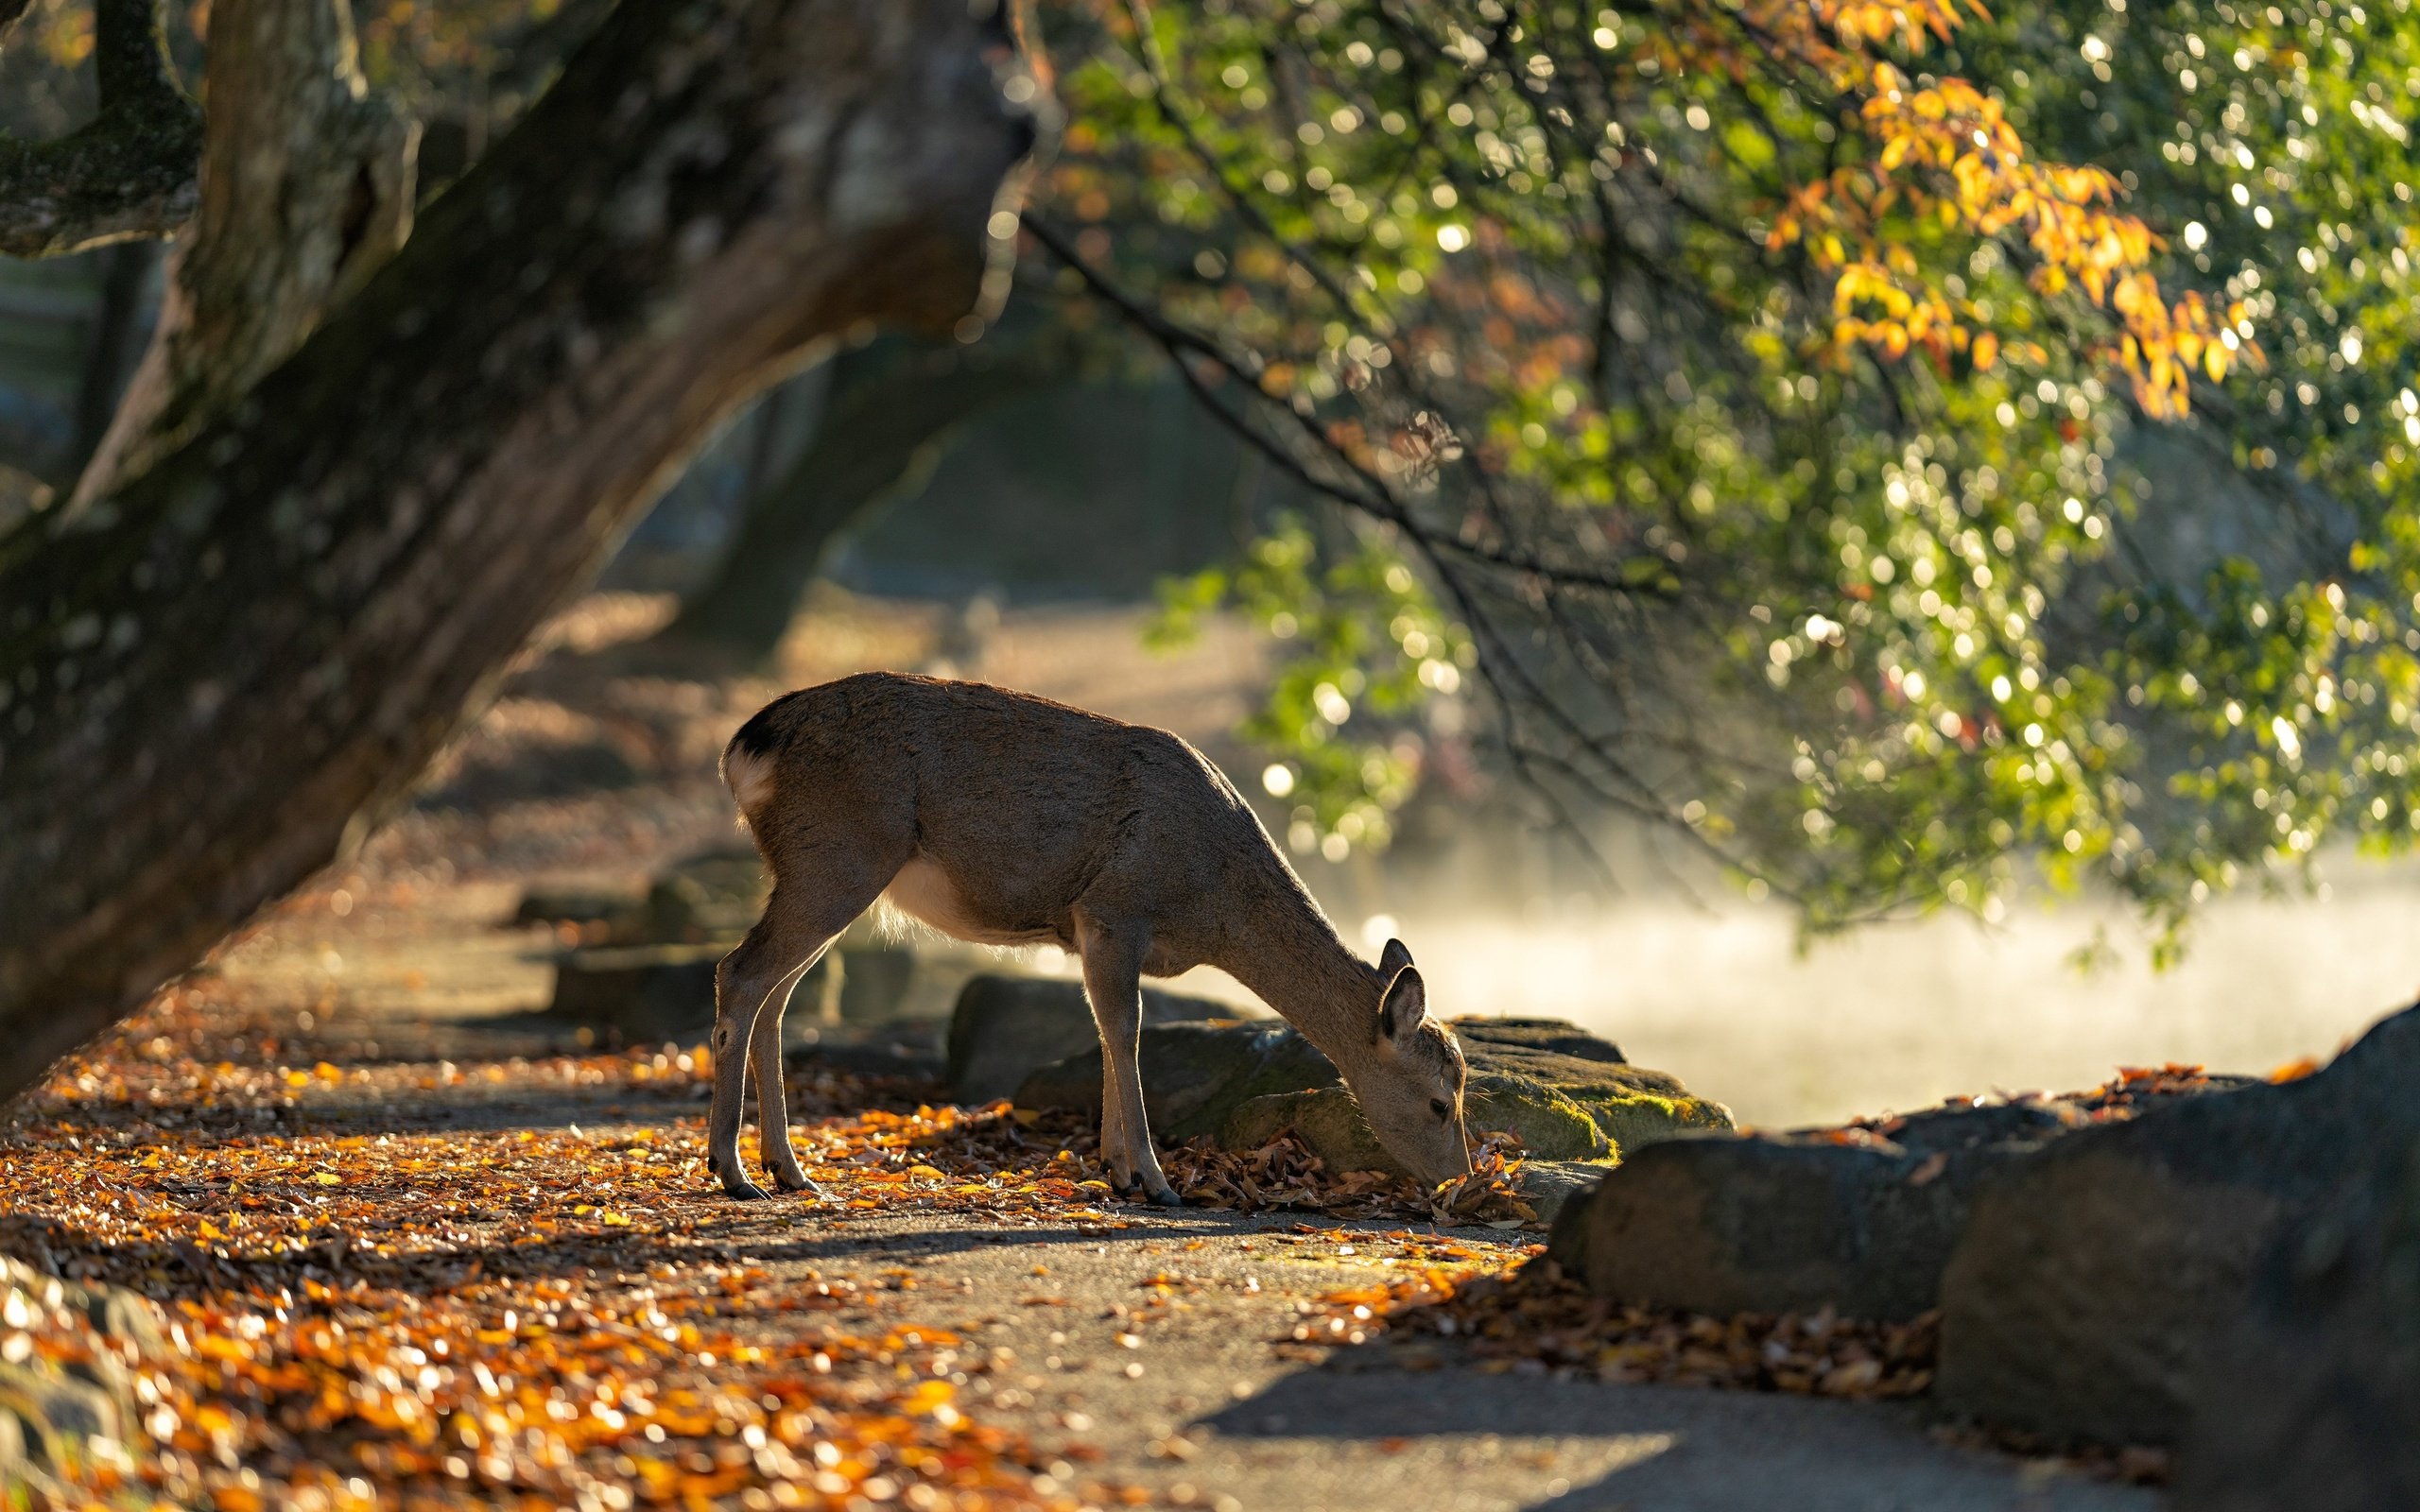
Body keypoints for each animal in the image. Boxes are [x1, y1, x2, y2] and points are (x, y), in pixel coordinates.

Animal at [692, 672, 1461, 1204]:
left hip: (824, 872)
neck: (1210, 904)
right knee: (740, 972)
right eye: (1439, 1099)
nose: (1458, 1177)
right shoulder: (1114, 907)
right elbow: (1126, 1030)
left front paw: (1118, 1171)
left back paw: (789, 1171)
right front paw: (1155, 1180)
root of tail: (745, 747)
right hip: (838, 857)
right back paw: (732, 1171)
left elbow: (1104, 1029)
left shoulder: (1101, 932)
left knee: (776, 994)